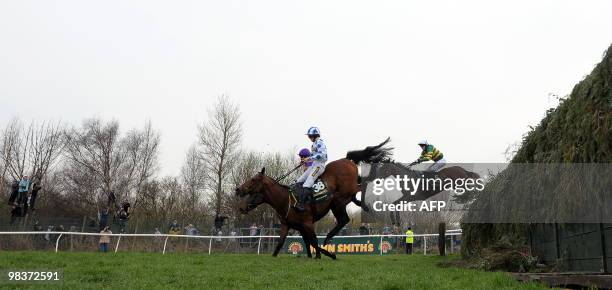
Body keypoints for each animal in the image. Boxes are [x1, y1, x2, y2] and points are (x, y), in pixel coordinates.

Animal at [235, 138, 392, 258]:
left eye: (254, 180)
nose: (238, 190)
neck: (286, 200)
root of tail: (346, 159)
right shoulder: (290, 226)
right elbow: (284, 243)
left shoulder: (307, 223)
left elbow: (313, 241)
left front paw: (325, 255)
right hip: (339, 200)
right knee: (344, 217)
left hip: (343, 195)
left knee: (361, 189)